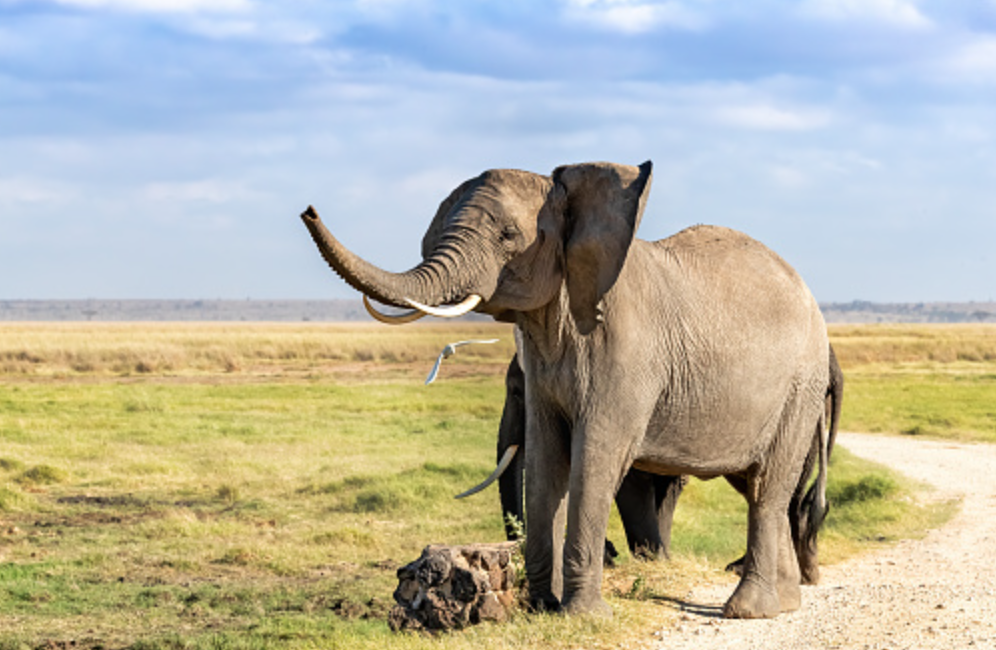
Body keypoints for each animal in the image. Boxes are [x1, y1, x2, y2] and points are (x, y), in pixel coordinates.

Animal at [302, 159, 832, 616]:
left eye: (508, 235)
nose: (308, 210)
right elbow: (543, 456)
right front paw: (542, 608)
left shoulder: (626, 354)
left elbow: (595, 457)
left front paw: (583, 616)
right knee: (758, 487)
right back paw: (785, 602)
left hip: (802, 384)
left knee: (769, 487)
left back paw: (748, 610)